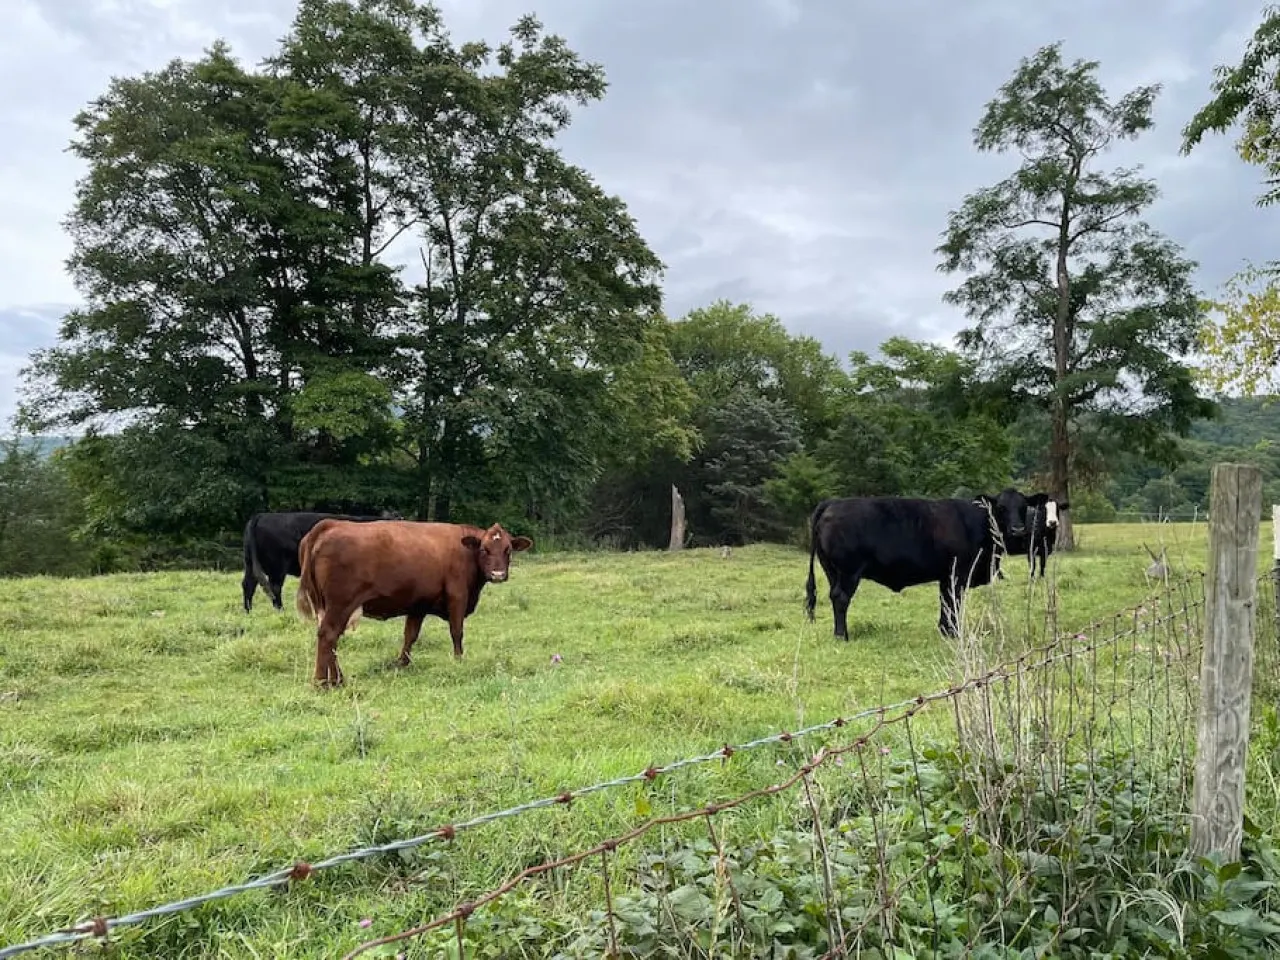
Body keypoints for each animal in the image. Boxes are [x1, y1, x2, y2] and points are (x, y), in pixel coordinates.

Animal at [241, 510, 399, 613]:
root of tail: (262, 515)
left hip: (250, 564)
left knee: (248, 585)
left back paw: (248, 611)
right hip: (278, 565)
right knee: (274, 587)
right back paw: (281, 610)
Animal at [295, 518, 533, 687]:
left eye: (508, 550)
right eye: (484, 549)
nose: (498, 574)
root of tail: (330, 524)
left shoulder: (419, 604)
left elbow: (410, 635)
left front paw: (401, 664)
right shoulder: (458, 597)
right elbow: (456, 632)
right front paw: (458, 662)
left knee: (331, 639)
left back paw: (337, 679)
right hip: (341, 604)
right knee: (328, 635)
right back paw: (323, 682)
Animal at [803, 489, 1031, 640]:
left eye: (1023, 508)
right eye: (1001, 508)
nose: (1018, 529)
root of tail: (832, 503)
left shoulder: (946, 576)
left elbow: (946, 601)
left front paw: (945, 630)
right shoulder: (957, 573)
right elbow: (953, 601)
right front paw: (954, 633)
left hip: (832, 571)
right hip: (849, 571)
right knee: (841, 598)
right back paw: (842, 635)